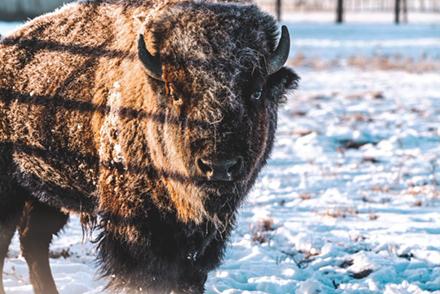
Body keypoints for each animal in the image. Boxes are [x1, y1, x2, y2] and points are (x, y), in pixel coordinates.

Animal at [0, 0, 300, 292]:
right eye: (175, 93)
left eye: (257, 92)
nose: (219, 166)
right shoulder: (134, 225)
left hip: (47, 192)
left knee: (33, 240)